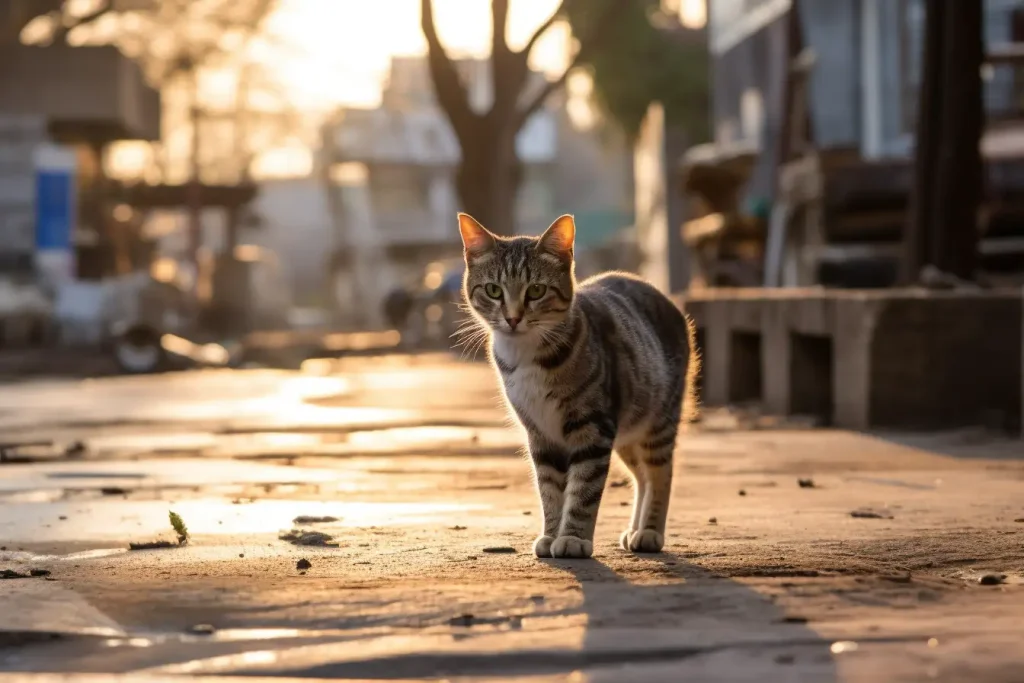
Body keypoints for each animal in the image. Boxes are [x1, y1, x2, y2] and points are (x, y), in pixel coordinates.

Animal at [460, 214, 700, 561]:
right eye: (493, 290)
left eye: (536, 290)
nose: (513, 318)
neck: (527, 355)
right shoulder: (540, 433)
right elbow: (549, 489)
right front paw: (551, 534)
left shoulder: (593, 426)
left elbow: (583, 489)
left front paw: (572, 538)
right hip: (628, 429)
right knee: (641, 476)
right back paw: (635, 529)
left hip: (658, 419)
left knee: (659, 473)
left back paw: (650, 531)